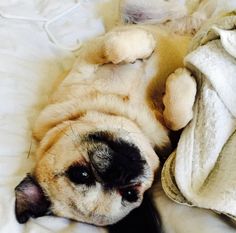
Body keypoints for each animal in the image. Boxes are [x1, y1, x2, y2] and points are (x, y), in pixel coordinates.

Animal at [13, 25, 196, 226]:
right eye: (130, 193)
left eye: (81, 174)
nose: (121, 174)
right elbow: (175, 120)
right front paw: (181, 80)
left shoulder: (86, 61)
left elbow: (112, 47)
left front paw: (144, 42)